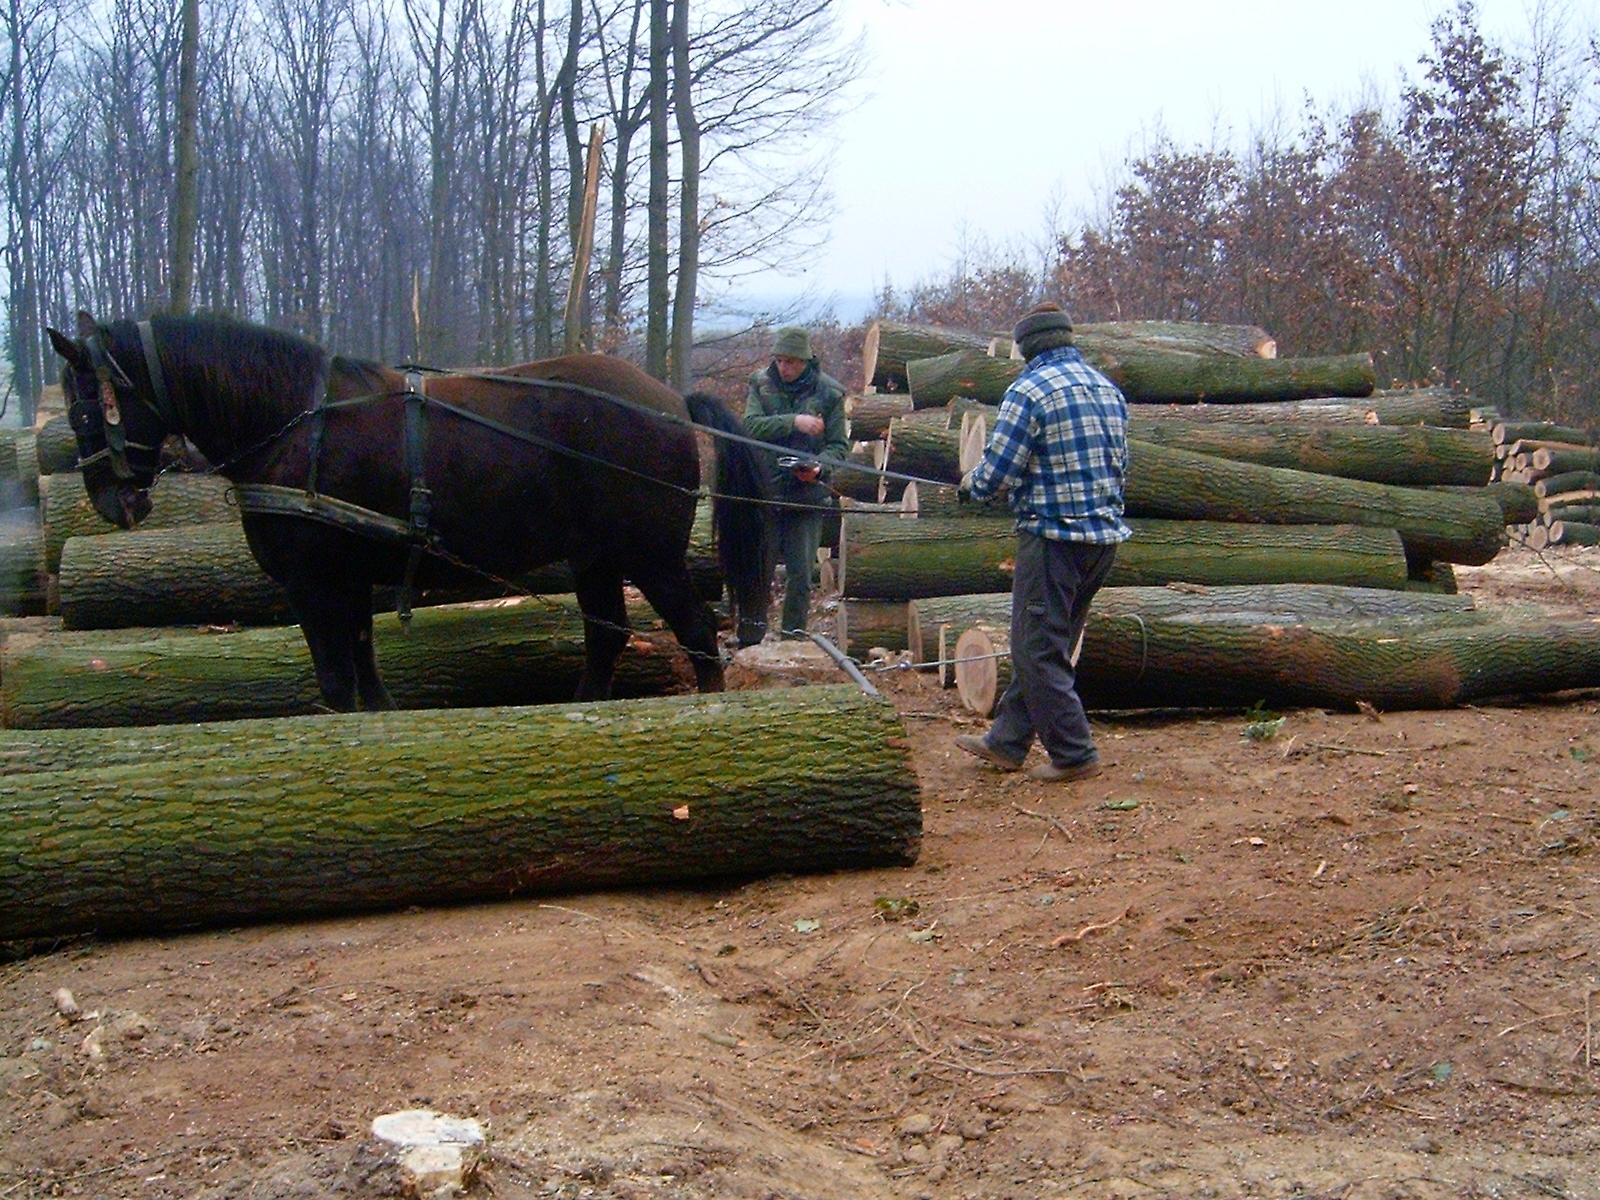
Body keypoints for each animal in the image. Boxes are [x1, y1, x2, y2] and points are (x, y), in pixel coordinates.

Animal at [47, 311, 772, 710]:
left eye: (85, 408)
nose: (113, 503)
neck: (295, 424)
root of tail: (672, 401)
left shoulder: (313, 583)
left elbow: (337, 681)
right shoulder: (346, 581)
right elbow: (364, 674)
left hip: (650, 555)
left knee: (697, 633)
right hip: (594, 557)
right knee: (607, 636)